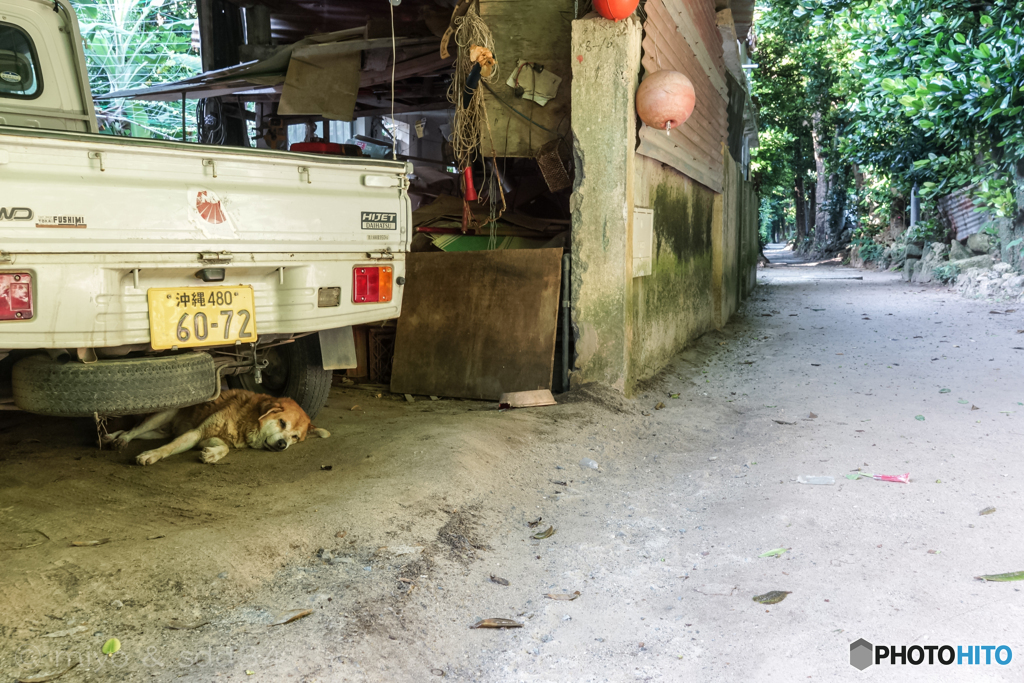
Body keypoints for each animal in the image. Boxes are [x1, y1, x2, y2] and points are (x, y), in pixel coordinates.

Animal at [102, 387, 329, 466]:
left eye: (295, 437)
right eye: (282, 423)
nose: (283, 444)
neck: (244, 421)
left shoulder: (207, 438)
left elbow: (225, 447)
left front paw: (211, 455)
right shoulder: (195, 433)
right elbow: (167, 449)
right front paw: (151, 455)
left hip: (158, 432)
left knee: (132, 431)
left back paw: (113, 437)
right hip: (161, 416)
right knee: (134, 430)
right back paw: (120, 440)